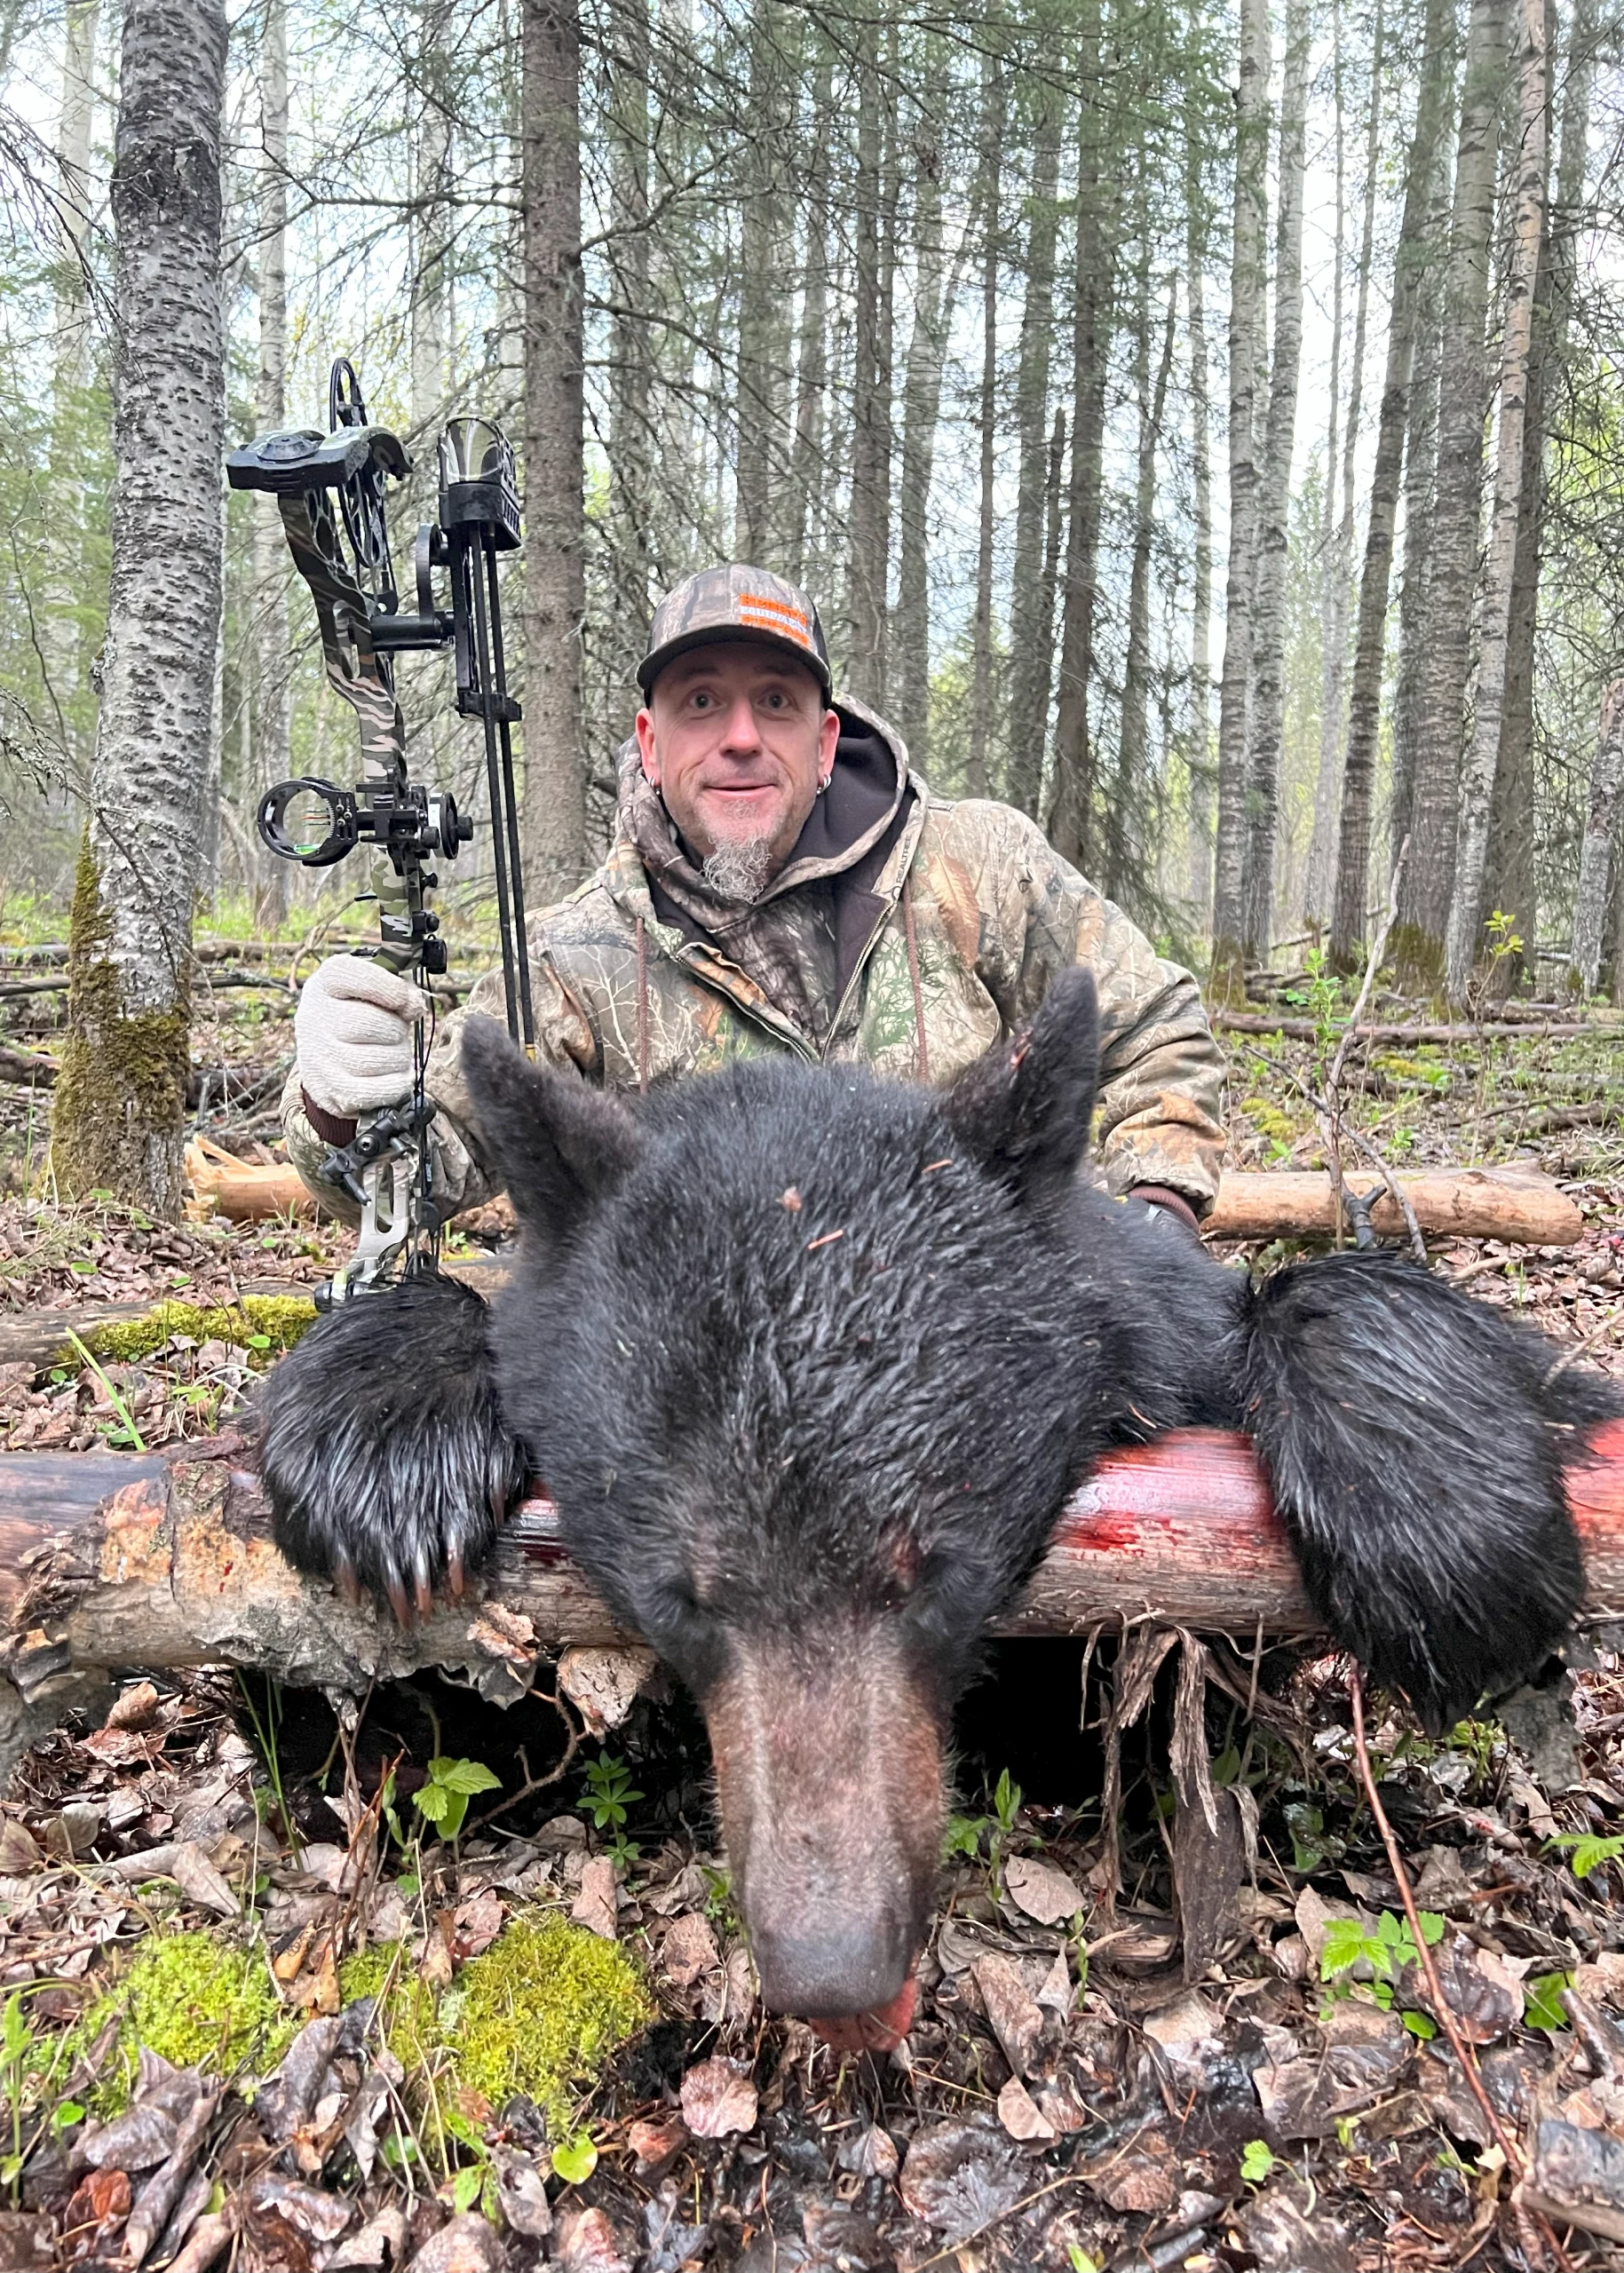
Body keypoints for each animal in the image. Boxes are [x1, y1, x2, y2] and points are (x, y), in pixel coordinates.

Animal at [257, 968, 1619, 2035]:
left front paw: (1446, 1523)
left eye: (937, 1576)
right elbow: (381, 1729)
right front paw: (378, 1433)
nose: (831, 1968)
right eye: (680, 1601)